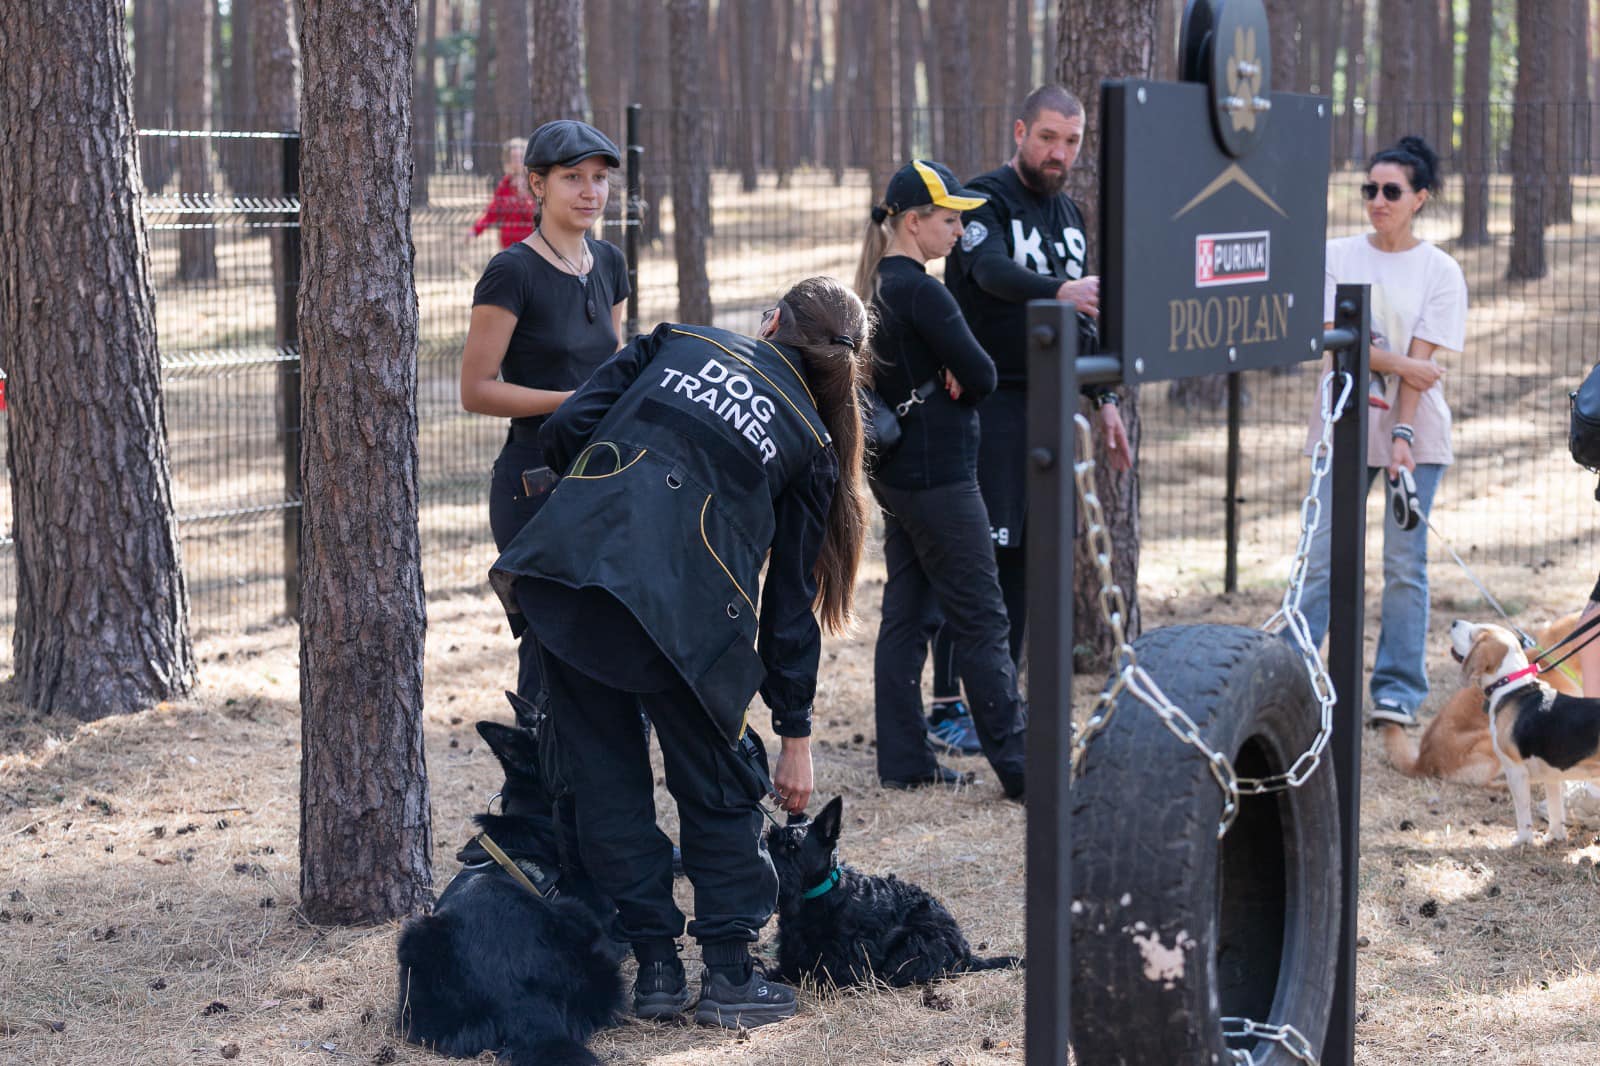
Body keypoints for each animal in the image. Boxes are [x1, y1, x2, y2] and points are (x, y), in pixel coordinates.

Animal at [764, 793, 1024, 985]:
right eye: (769, 840)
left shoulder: (848, 958)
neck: (820, 894)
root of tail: (967, 953)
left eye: (792, 846)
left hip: (915, 943)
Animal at [1459, 617, 1600, 845]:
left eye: (1473, 634)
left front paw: (1523, 840)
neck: (1510, 686)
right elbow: (1555, 810)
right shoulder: (1552, 776)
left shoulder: (1515, 771)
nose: (1454, 623)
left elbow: (1523, 812)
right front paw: (1554, 836)